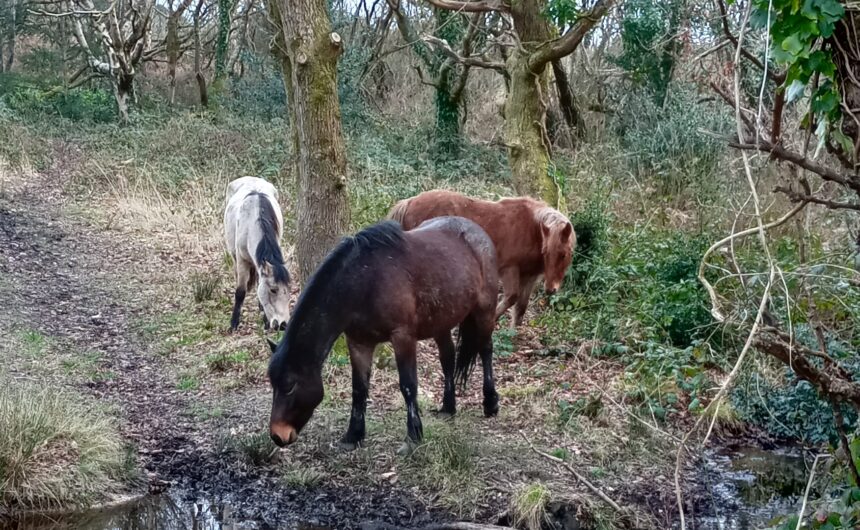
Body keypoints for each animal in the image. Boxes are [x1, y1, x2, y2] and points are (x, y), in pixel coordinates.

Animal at [223, 177, 290, 330]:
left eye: (288, 290)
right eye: (273, 290)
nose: (283, 325)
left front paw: (265, 321)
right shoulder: (242, 260)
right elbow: (240, 292)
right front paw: (233, 324)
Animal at [268, 217, 498, 448]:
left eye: (290, 385)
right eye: (273, 384)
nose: (277, 435)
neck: (365, 281)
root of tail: (475, 230)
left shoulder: (403, 337)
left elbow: (408, 385)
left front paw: (413, 436)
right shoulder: (358, 343)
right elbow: (359, 389)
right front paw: (353, 435)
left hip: (485, 311)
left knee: (486, 349)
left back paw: (490, 403)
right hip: (441, 322)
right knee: (448, 359)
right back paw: (448, 408)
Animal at [390, 188, 576, 324]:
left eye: (563, 254)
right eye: (547, 252)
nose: (551, 289)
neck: (532, 228)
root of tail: (410, 201)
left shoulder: (529, 276)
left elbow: (520, 307)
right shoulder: (509, 269)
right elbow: (511, 298)